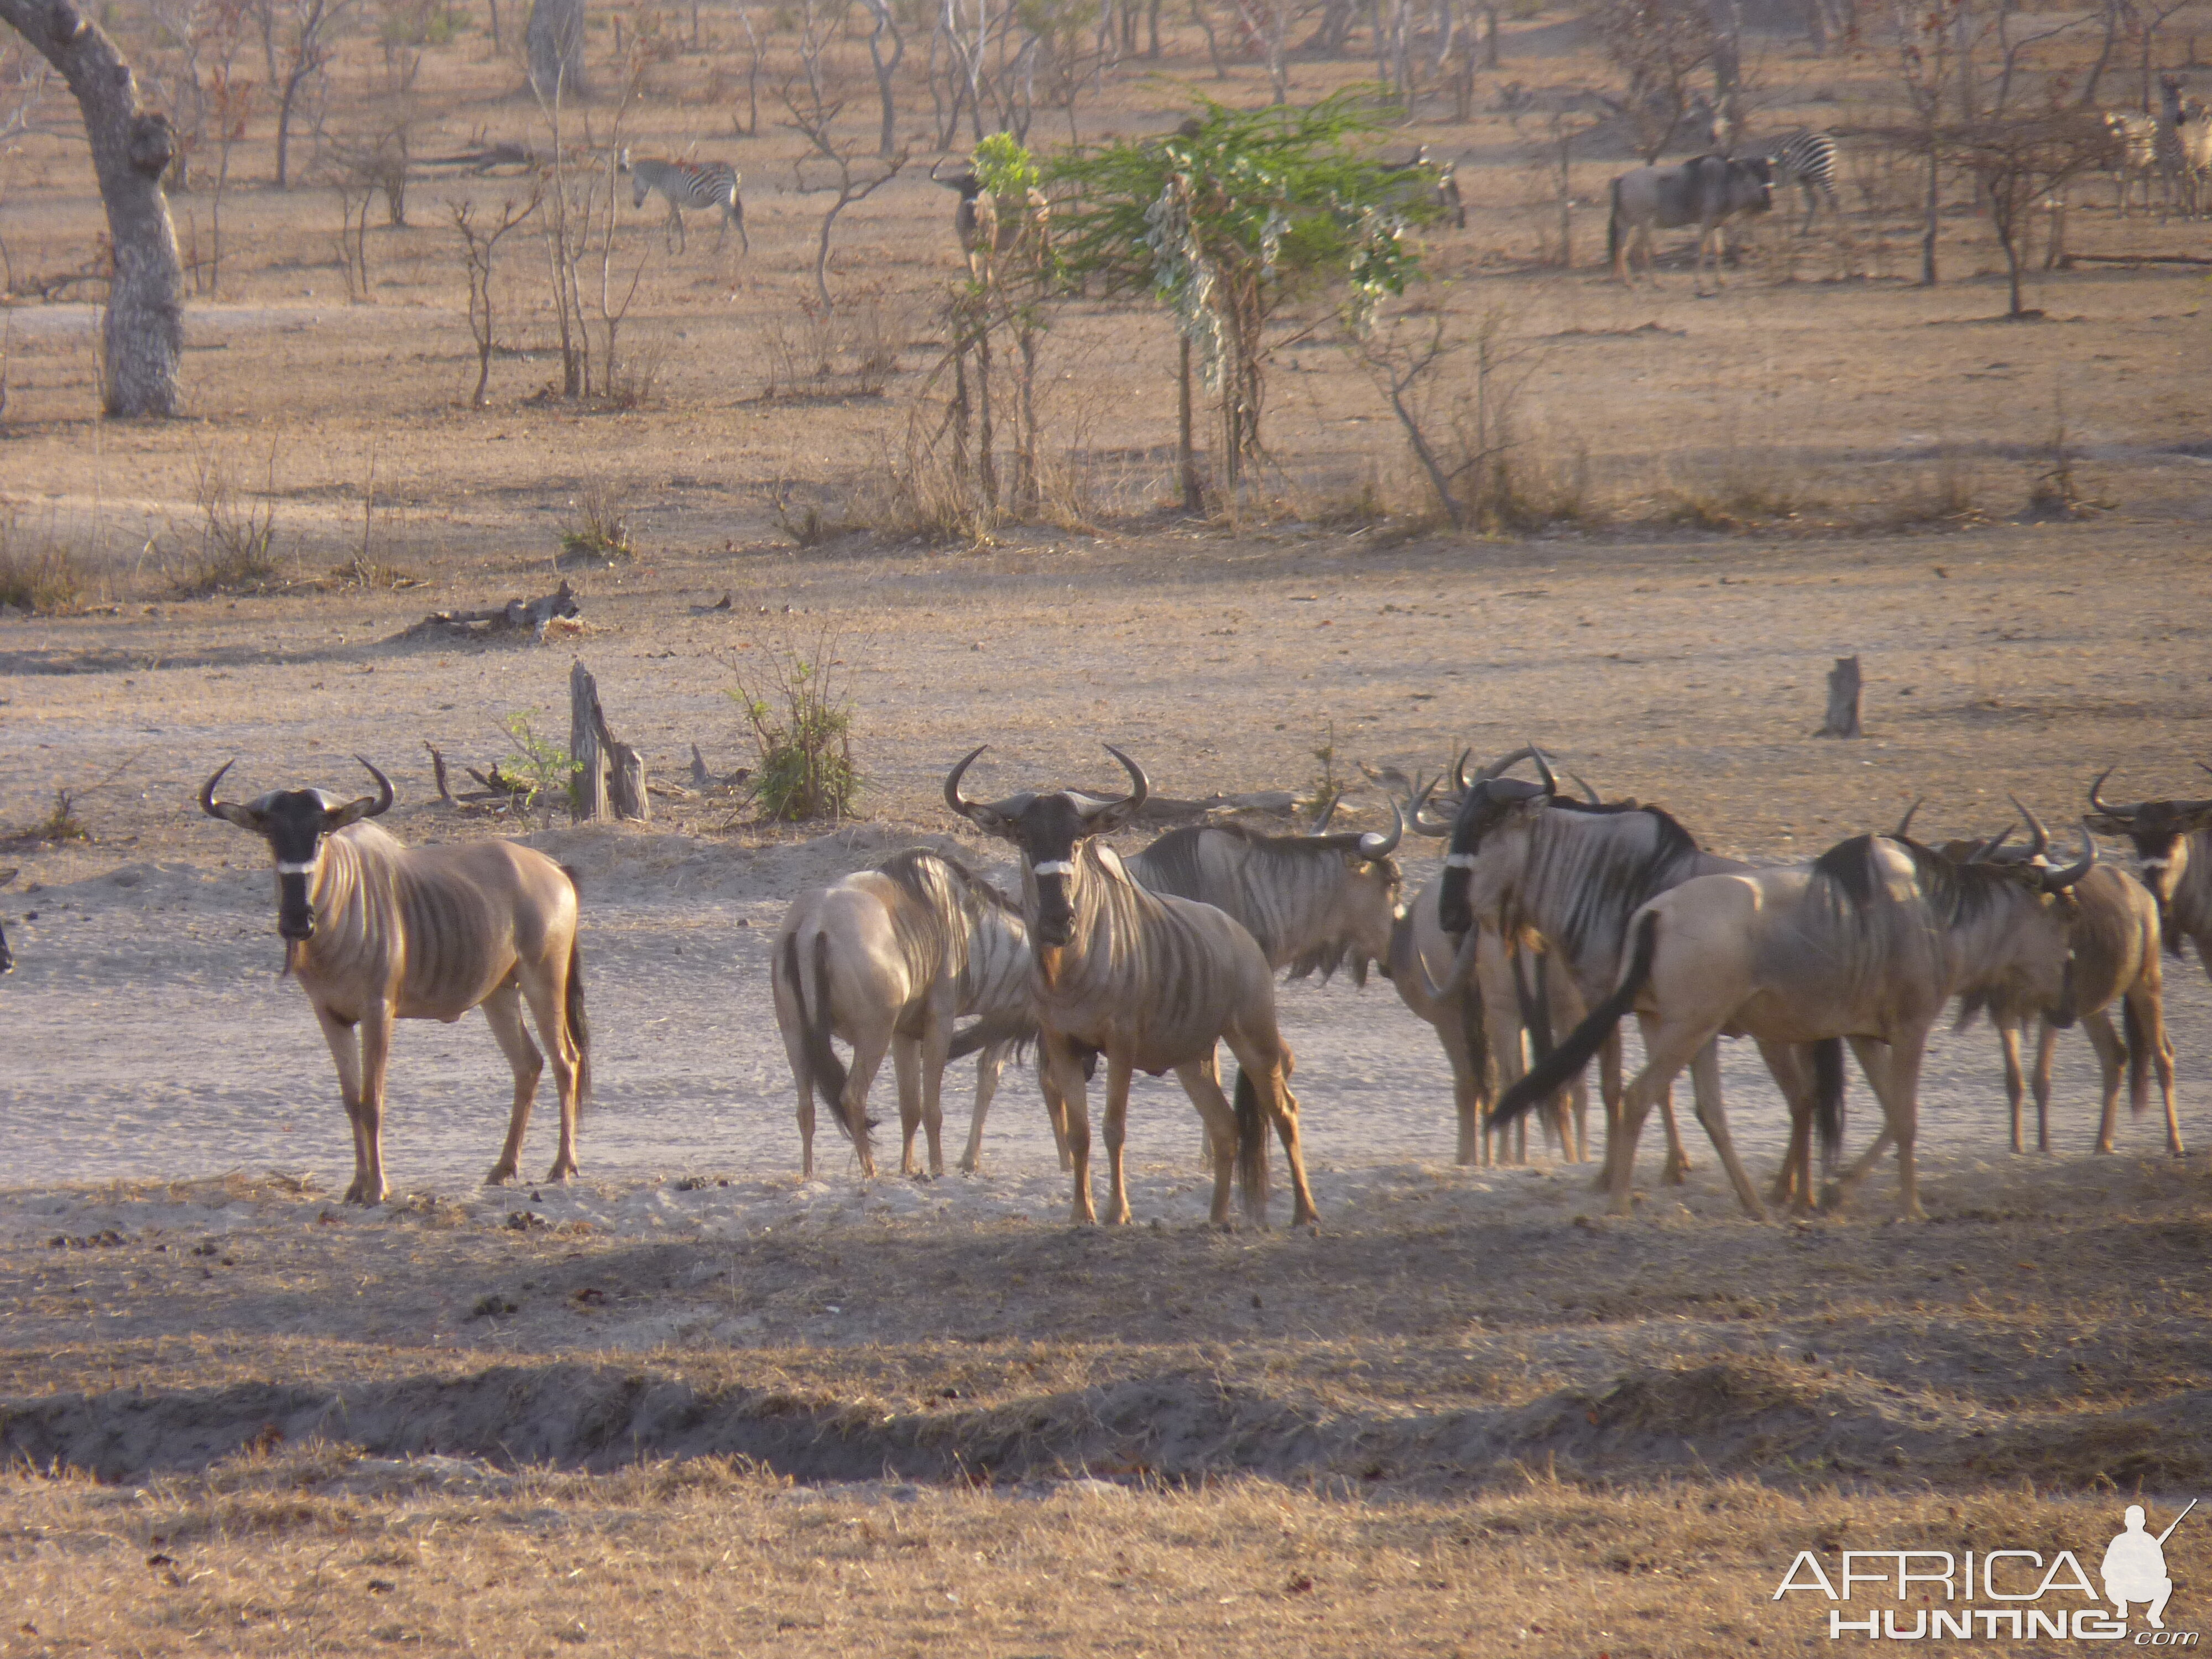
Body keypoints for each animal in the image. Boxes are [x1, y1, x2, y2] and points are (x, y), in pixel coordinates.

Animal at [619, 149, 748, 253]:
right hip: (726, 196)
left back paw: (745, 247)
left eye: (633, 183)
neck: (663, 176)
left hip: (722, 193)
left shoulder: (673, 199)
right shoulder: (678, 201)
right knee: (727, 220)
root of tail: (731, 169)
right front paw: (674, 245)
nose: (636, 205)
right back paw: (717, 248)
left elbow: (675, 221)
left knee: (735, 217)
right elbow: (675, 219)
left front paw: (676, 248)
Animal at [1752, 132, 1840, 234]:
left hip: (1821, 169)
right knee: (1814, 200)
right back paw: (1804, 230)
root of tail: (1829, 139)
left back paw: (1837, 230)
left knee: (1834, 198)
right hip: (1806, 177)